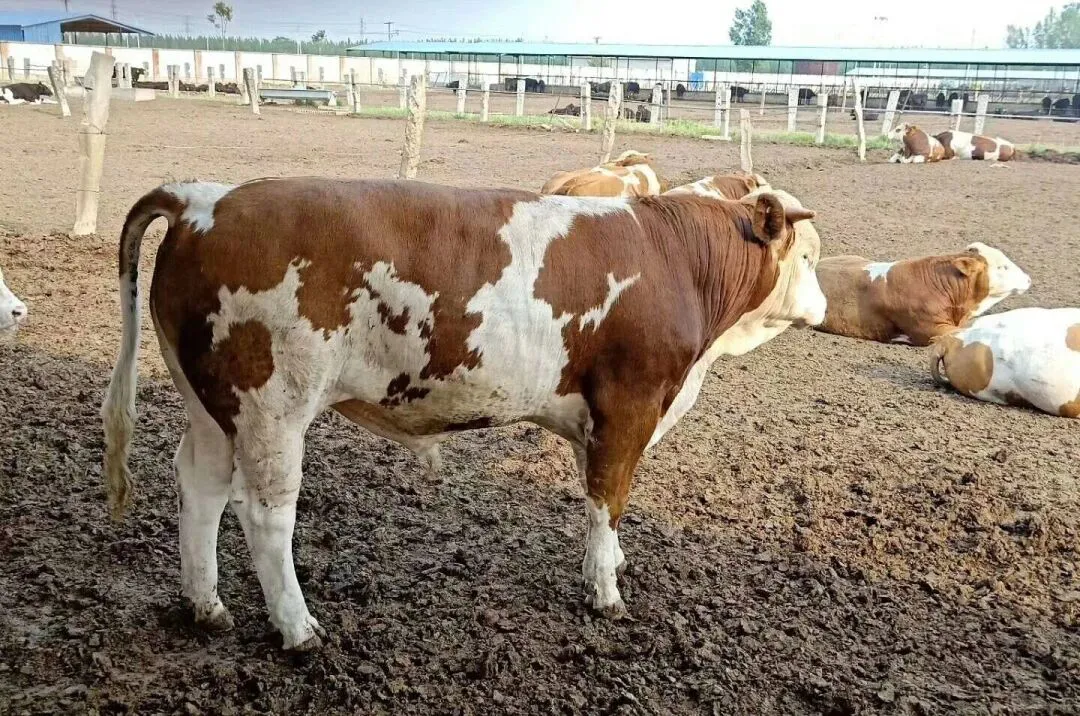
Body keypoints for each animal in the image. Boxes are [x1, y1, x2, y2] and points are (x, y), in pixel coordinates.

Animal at [100, 177, 826, 650]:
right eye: (809, 255)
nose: (822, 309)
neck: (676, 257)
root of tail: (204, 198)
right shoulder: (630, 403)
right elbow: (606, 501)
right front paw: (605, 592)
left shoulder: (597, 416)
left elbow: (602, 499)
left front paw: (613, 565)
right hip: (272, 403)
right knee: (265, 514)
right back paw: (298, 628)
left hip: (212, 406)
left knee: (200, 486)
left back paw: (206, 606)